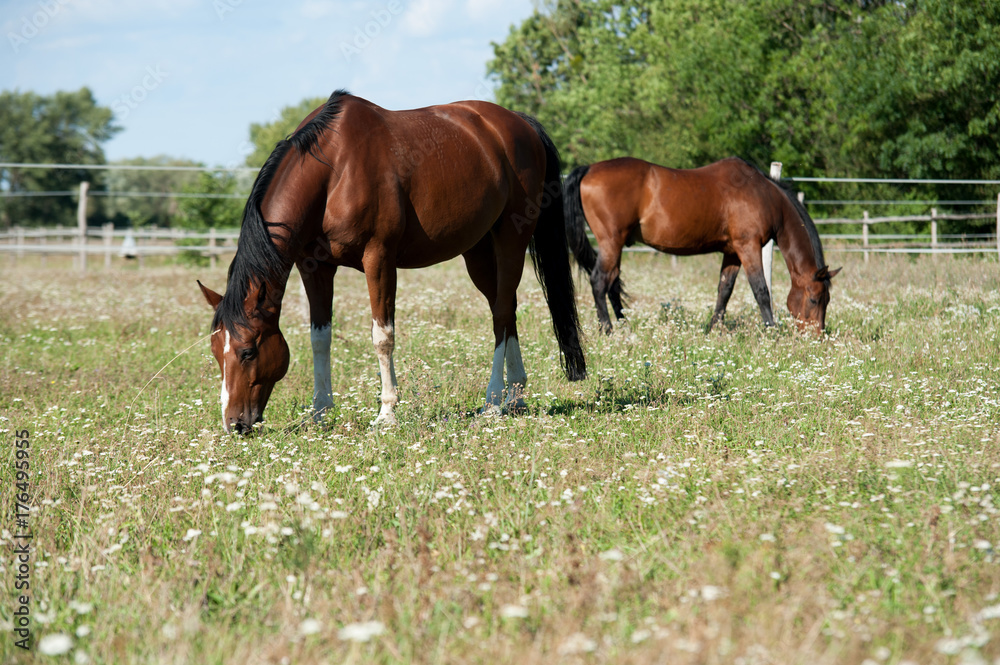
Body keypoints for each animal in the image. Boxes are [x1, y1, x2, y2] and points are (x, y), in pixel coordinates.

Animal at [199, 91, 584, 434]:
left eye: (248, 352)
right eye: (217, 352)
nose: (234, 424)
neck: (333, 169)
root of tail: (520, 123)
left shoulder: (379, 258)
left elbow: (382, 336)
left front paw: (387, 413)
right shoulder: (315, 267)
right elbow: (319, 337)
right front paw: (320, 412)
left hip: (510, 239)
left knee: (502, 313)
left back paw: (492, 401)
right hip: (477, 251)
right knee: (505, 310)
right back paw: (515, 395)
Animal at [568, 156, 840, 332]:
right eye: (815, 299)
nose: (817, 335)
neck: (764, 195)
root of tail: (588, 169)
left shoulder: (732, 252)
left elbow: (724, 290)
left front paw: (712, 329)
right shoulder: (748, 247)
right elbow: (761, 290)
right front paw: (771, 330)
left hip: (615, 245)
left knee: (612, 281)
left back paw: (624, 325)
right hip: (611, 242)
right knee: (600, 281)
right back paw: (608, 329)